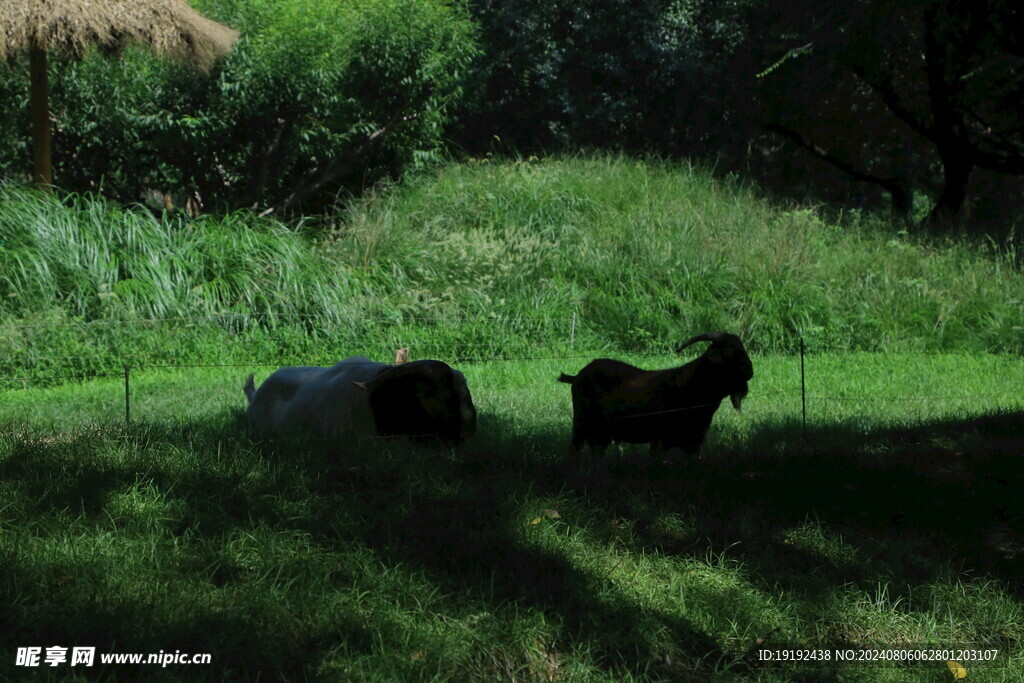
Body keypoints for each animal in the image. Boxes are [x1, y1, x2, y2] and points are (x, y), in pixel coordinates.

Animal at [561, 331, 753, 456]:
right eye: (729, 351)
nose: (750, 371)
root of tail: (578, 375)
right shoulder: (660, 440)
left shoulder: (695, 442)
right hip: (581, 422)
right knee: (574, 448)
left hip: (601, 432)